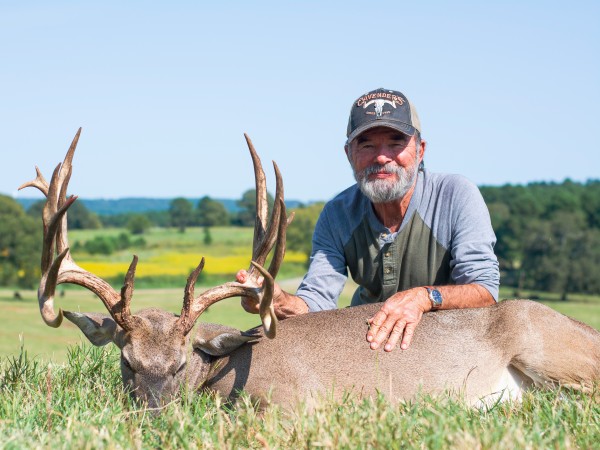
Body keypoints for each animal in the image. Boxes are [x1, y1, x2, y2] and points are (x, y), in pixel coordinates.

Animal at [21, 129, 596, 412]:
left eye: (182, 363)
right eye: (126, 363)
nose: (154, 417)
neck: (224, 373)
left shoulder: (297, 404)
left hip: (549, 349)